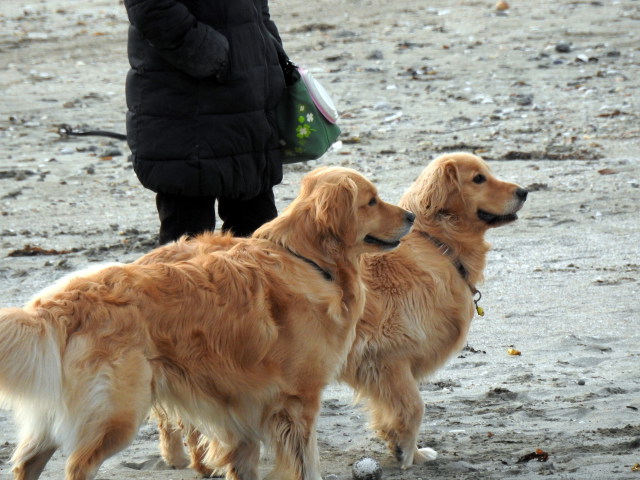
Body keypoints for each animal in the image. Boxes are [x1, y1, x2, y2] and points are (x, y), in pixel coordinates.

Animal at [0, 166, 416, 480]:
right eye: (371, 200)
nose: (411, 216)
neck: (309, 261)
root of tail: (60, 302)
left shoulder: (242, 407)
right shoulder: (299, 400)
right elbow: (304, 464)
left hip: (59, 413)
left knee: (26, 461)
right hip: (116, 411)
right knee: (77, 465)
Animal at [144, 153, 524, 472]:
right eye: (478, 179)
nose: (524, 190)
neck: (437, 245)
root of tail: (154, 256)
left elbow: (399, 410)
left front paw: (410, 451)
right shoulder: (386, 356)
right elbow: (414, 407)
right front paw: (405, 452)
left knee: (171, 414)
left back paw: (180, 457)